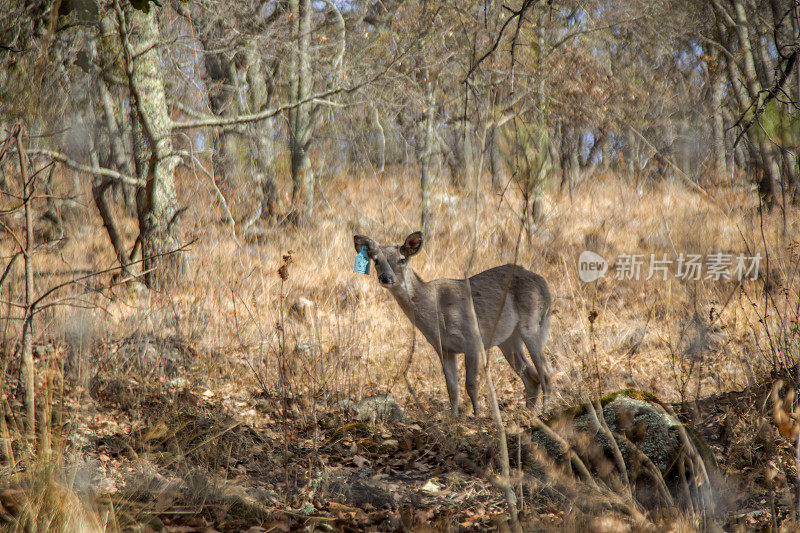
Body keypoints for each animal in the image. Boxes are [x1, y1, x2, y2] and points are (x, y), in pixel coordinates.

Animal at [354, 230, 552, 416]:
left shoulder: (472, 338)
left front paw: (476, 416)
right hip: (509, 339)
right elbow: (451, 388)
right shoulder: (444, 348)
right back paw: (529, 412)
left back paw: (544, 412)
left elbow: (470, 384)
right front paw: (454, 417)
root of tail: (544, 285)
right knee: (532, 377)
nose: (385, 277)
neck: (436, 311)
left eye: (402, 259)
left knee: (545, 373)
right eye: (376, 260)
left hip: (533, 324)